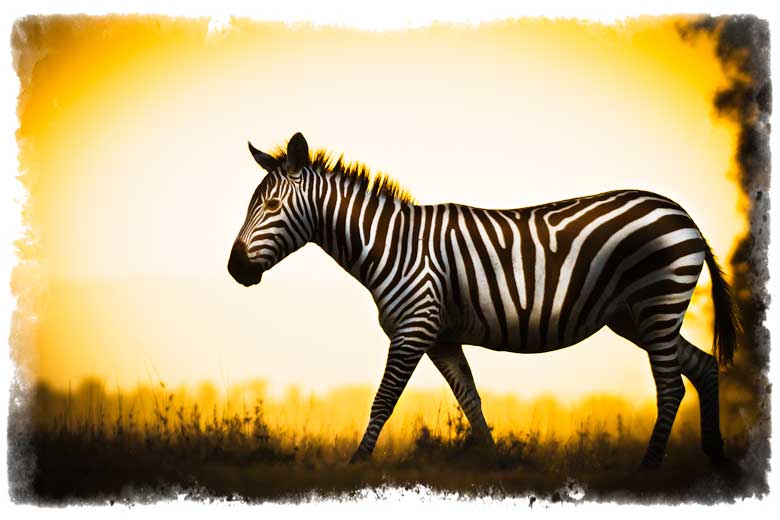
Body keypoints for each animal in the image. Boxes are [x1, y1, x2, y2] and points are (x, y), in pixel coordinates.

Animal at [228, 132, 739, 469]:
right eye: (251, 205)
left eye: (270, 207)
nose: (235, 269)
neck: (391, 245)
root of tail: (682, 213)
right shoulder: (440, 338)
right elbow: (471, 400)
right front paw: (496, 464)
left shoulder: (414, 329)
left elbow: (383, 400)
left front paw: (357, 465)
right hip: (637, 317)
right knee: (703, 366)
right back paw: (714, 456)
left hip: (657, 302)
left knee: (671, 387)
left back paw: (649, 468)